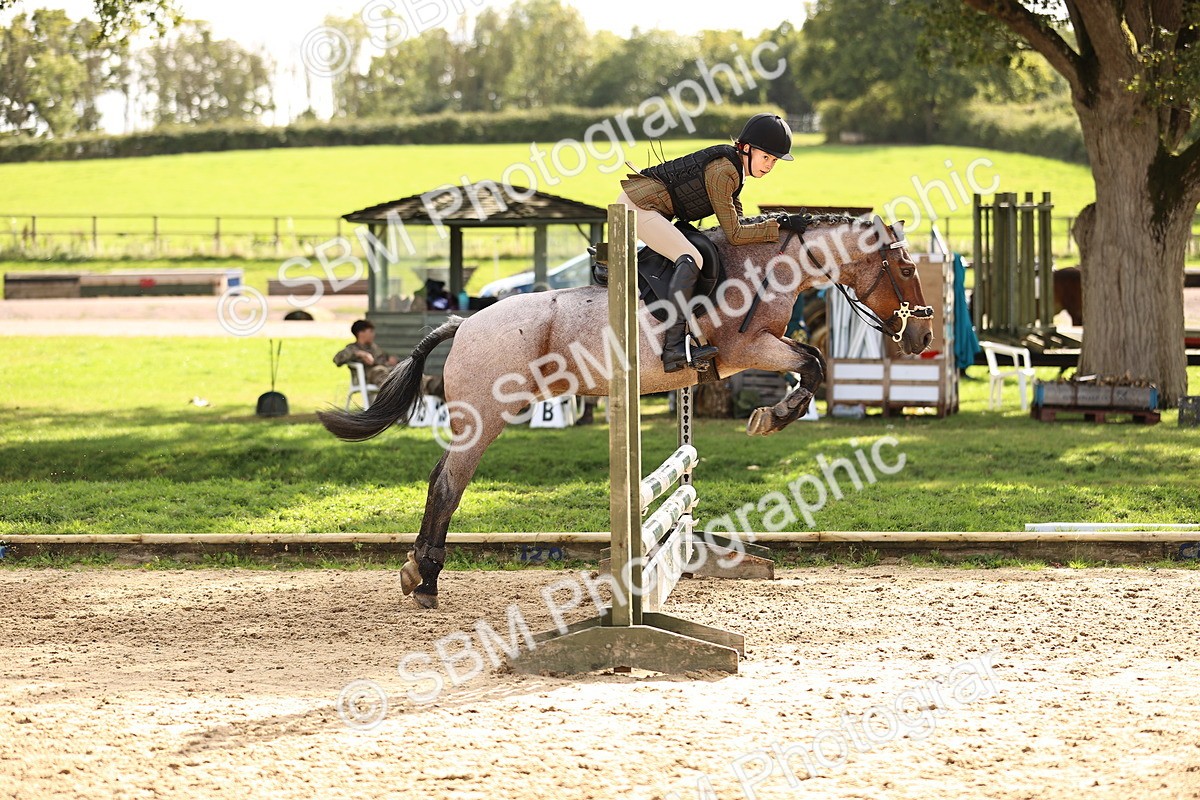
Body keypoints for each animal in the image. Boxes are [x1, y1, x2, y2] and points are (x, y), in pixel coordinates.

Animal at [317, 213, 934, 609]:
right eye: (905, 269)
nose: (923, 335)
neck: (767, 264)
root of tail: (464, 322)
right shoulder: (746, 349)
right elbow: (812, 364)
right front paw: (771, 417)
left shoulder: (753, 353)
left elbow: (812, 363)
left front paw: (773, 414)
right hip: (485, 416)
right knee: (448, 483)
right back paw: (423, 578)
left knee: (440, 479)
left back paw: (421, 575)